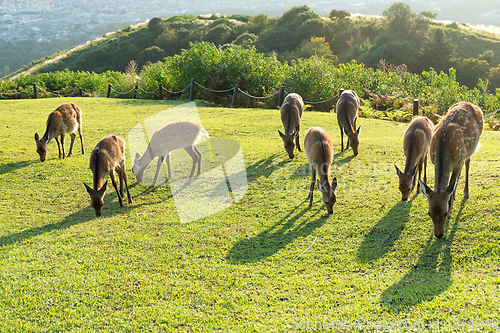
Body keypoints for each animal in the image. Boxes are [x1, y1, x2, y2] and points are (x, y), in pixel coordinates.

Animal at [418, 101, 484, 236]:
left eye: (444, 212)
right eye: (429, 213)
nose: (438, 234)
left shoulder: (458, 161)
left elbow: (452, 182)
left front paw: (450, 211)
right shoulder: (435, 161)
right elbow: (451, 184)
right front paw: (452, 200)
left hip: (470, 150)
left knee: (467, 164)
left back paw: (466, 193)